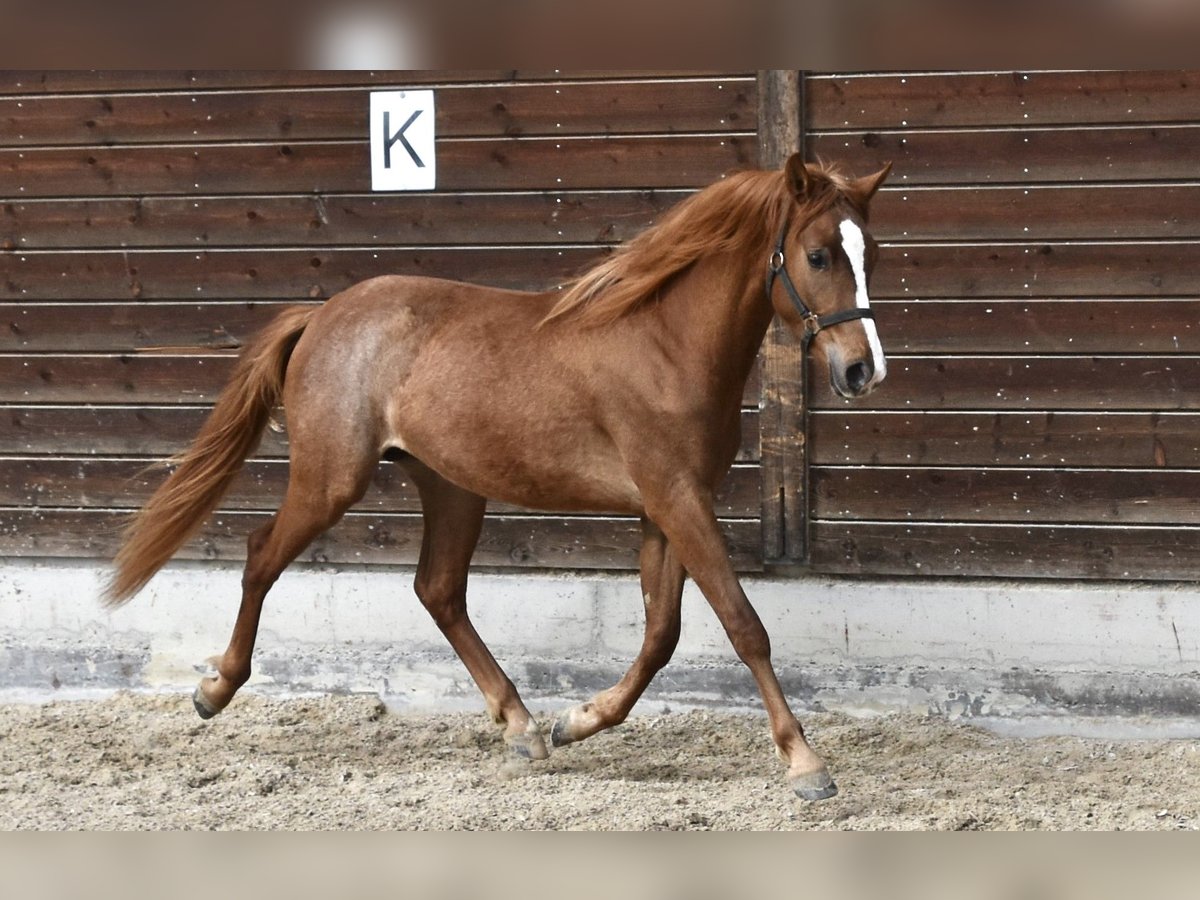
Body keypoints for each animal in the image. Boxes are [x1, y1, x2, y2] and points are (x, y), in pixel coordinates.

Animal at [105, 154, 892, 801]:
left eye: (872, 252)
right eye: (818, 254)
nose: (862, 370)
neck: (664, 343)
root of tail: (323, 315)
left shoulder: (665, 505)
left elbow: (661, 633)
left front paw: (579, 720)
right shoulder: (676, 497)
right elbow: (742, 624)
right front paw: (806, 765)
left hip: (451, 485)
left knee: (438, 591)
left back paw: (522, 726)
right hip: (332, 479)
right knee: (262, 555)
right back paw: (215, 688)